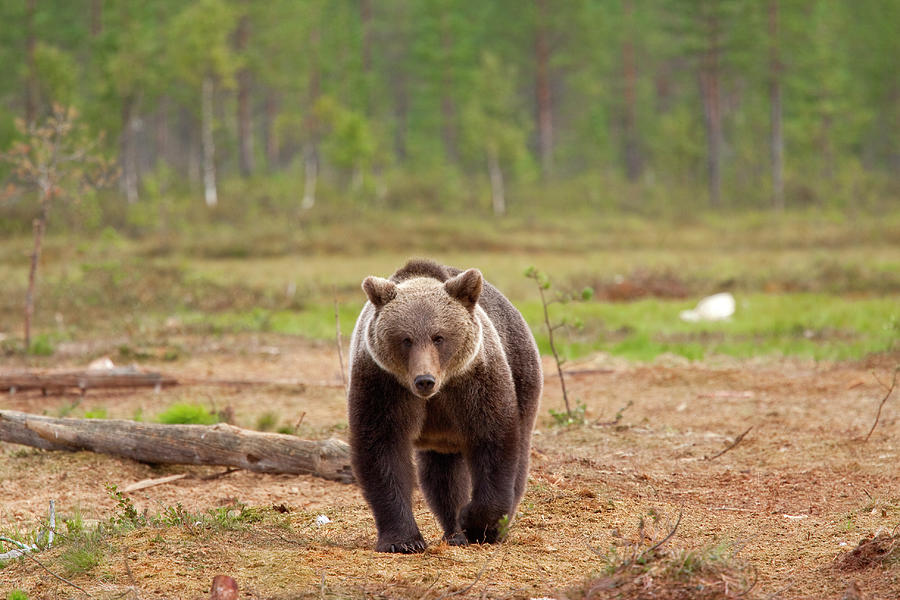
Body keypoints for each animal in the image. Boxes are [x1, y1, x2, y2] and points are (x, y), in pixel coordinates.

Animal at [346, 258, 540, 552]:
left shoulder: (473, 384)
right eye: (406, 339)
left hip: (522, 373)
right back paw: (453, 531)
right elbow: (382, 449)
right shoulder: (383, 386)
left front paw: (476, 522)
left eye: (438, 337)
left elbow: (493, 442)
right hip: (440, 439)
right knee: (442, 477)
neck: (437, 392)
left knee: (518, 458)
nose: (424, 380)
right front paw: (403, 540)